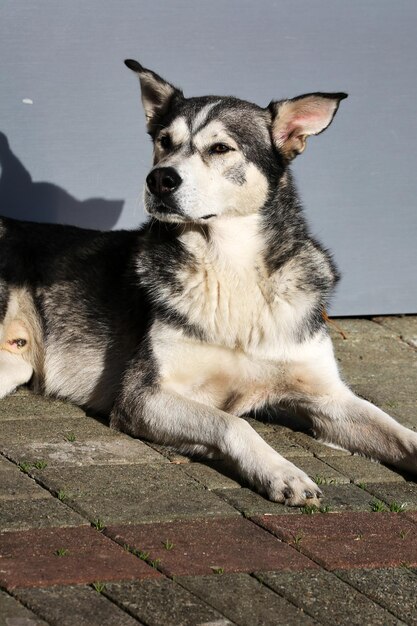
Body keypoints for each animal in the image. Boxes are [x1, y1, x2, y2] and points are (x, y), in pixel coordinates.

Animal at [0, 61, 414, 504]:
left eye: (220, 149)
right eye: (165, 141)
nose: (159, 179)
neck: (230, 271)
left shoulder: (328, 397)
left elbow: (402, 434)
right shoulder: (142, 396)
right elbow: (233, 423)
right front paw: (283, 473)